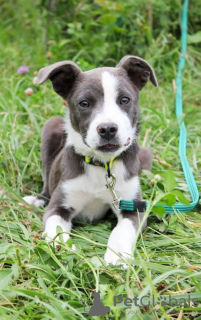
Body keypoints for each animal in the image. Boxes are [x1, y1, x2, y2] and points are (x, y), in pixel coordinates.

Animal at [22, 55, 157, 264]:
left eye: (124, 100)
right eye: (84, 103)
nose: (108, 129)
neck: (102, 164)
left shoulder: (133, 207)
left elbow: (121, 230)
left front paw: (117, 256)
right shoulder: (59, 206)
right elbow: (55, 229)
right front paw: (63, 248)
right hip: (50, 126)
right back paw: (36, 199)